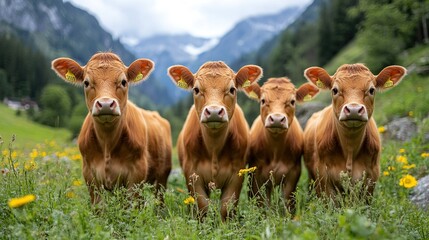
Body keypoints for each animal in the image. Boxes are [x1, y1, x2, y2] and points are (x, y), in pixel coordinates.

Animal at [53, 52, 172, 202]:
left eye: (124, 82)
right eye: (86, 82)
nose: (105, 104)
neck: (107, 144)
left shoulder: (137, 175)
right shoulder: (89, 174)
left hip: (162, 178)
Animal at [166, 61, 260, 220]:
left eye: (232, 89)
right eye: (196, 89)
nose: (214, 112)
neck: (214, 148)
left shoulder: (237, 174)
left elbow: (226, 207)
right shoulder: (192, 174)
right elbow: (202, 205)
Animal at [244, 78, 318, 210]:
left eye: (292, 101)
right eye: (263, 100)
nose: (277, 119)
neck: (276, 151)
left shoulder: (292, 175)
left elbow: (286, 204)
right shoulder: (256, 177)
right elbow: (262, 206)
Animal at [300, 62, 404, 198]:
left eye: (371, 90)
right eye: (335, 90)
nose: (354, 109)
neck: (349, 150)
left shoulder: (371, 177)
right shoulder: (323, 178)